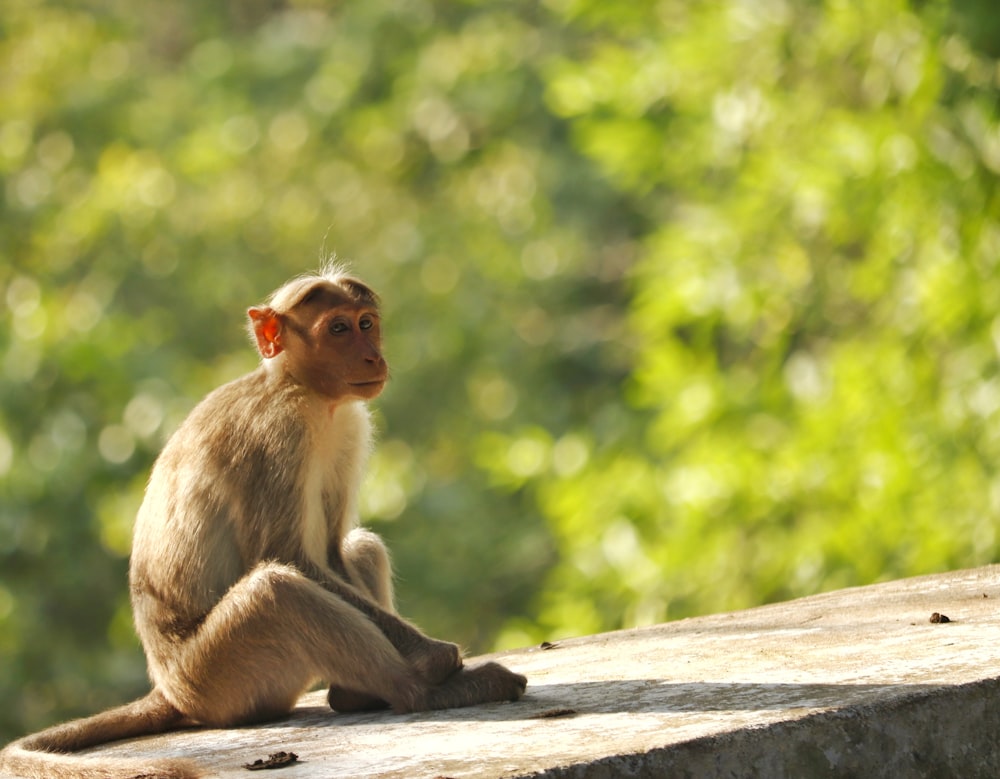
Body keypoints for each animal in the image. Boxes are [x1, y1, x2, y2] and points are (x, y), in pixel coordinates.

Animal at [0, 268, 528, 779]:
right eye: (338, 329)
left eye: (366, 323)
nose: (373, 357)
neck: (301, 389)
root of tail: (168, 688)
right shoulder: (278, 433)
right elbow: (286, 555)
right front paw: (437, 658)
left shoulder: (349, 425)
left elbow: (333, 551)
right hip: (217, 678)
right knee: (278, 590)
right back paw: (421, 691)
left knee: (360, 547)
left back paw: (356, 694)